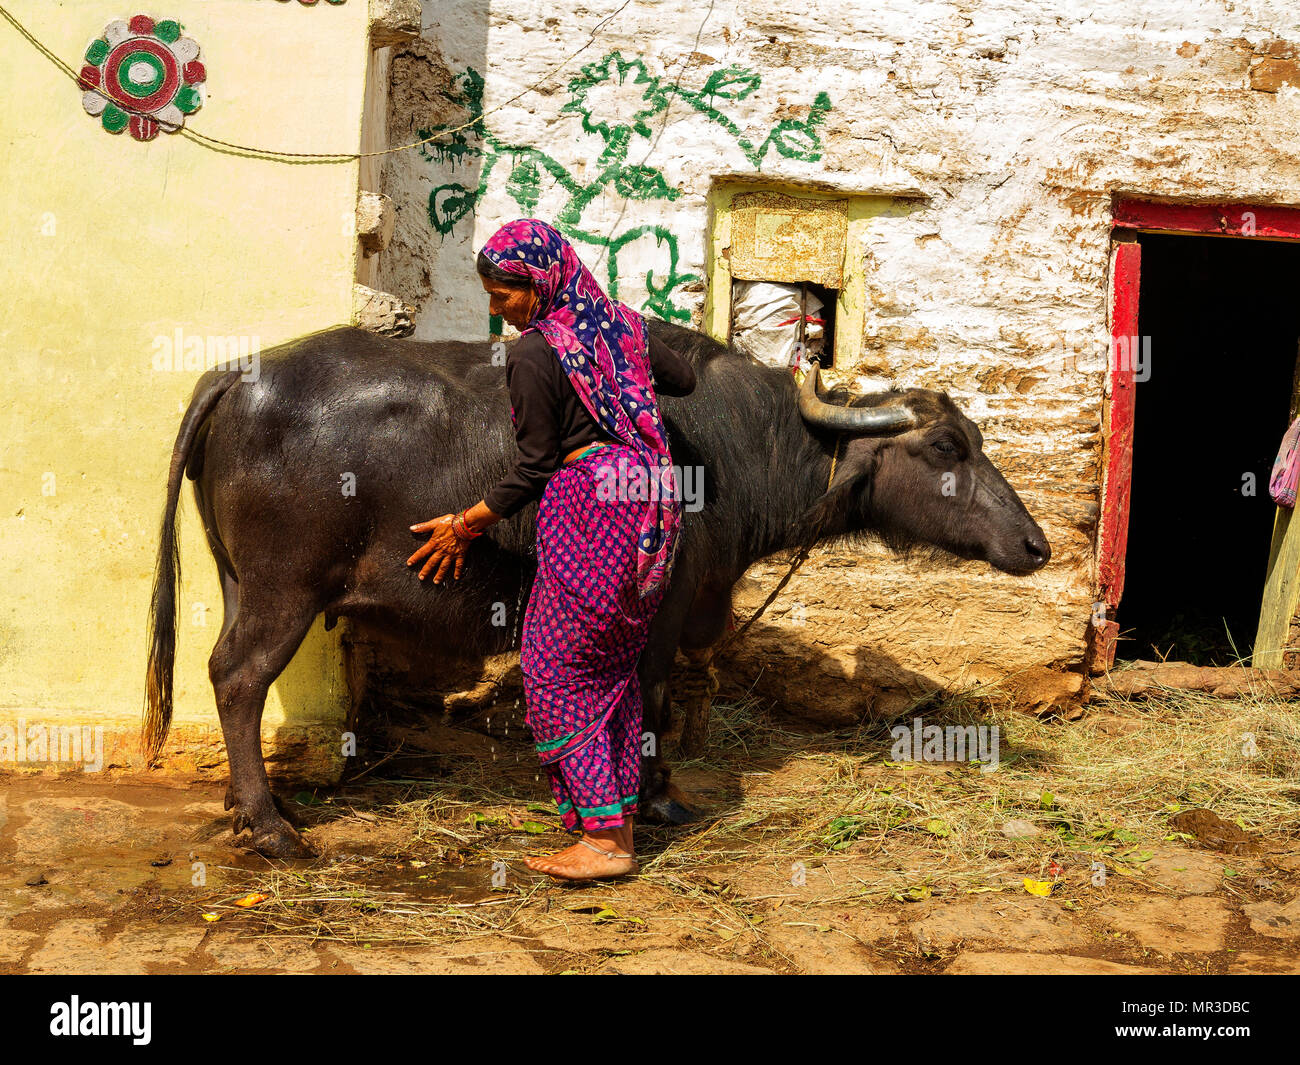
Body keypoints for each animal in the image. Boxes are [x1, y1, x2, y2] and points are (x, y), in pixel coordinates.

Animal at [144, 322, 1045, 858]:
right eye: (945, 446)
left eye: (974, 438)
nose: (1035, 544)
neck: (731, 447)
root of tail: (237, 377)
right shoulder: (662, 605)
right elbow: (648, 693)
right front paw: (654, 798)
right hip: (283, 590)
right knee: (238, 677)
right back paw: (271, 826)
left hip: (237, 579)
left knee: (228, 676)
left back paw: (246, 804)